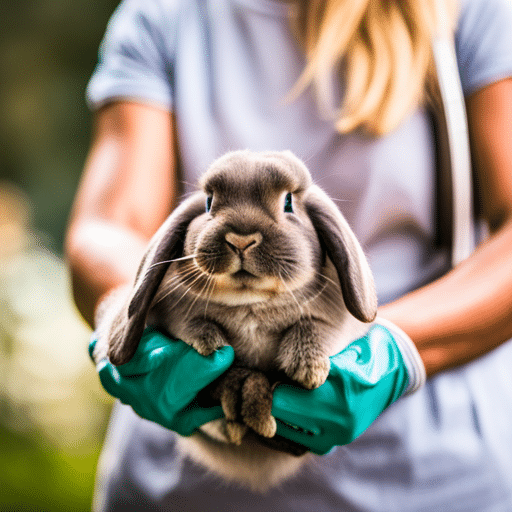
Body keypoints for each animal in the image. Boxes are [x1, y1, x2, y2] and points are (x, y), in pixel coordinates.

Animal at [94, 150, 378, 494]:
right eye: (208, 203)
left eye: (288, 203)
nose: (241, 240)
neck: (251, 304)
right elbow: (194, 330)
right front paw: (212, 345)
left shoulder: (338, 324)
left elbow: (316, 327)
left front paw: (307, 368)